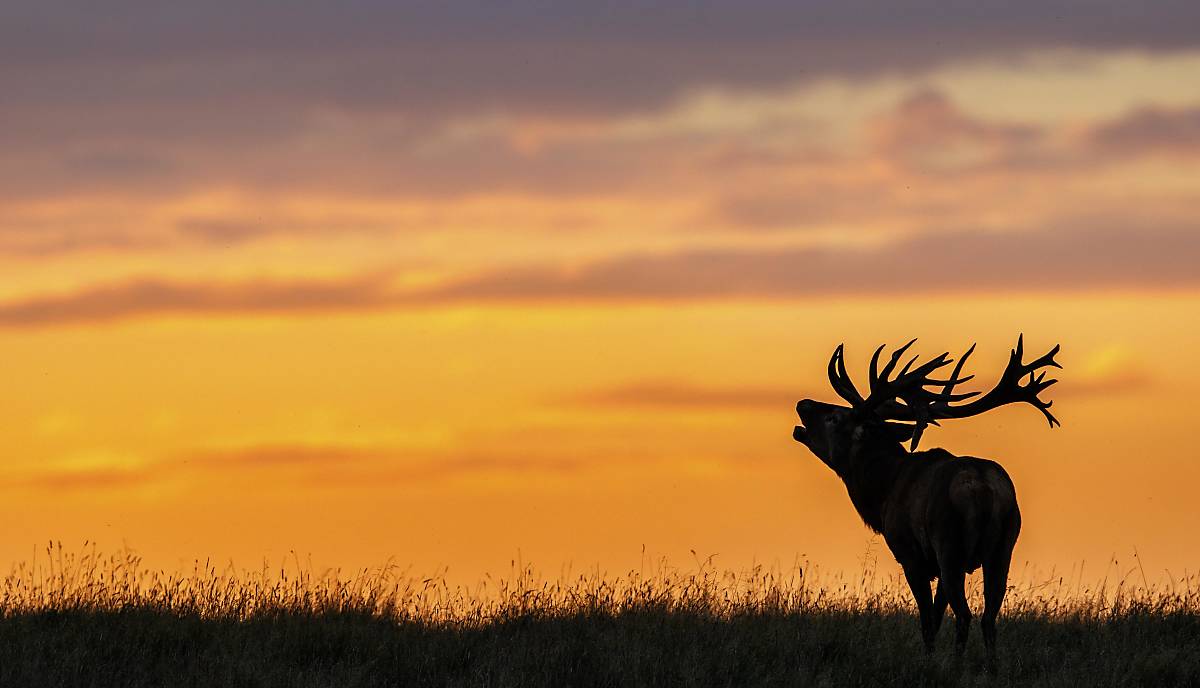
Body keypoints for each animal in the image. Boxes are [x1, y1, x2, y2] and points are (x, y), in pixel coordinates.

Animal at [796, 336, 1060, 667]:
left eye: (835, 417)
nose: (803, 403)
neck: (882, 493)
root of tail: (984, 488)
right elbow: (936, 615)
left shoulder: (910, 554)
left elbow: (927, 620)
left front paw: (928, 659)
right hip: (1003, 546)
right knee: (988, 617)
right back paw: (991, 667)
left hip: (949, 544)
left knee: (965, 615)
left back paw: (956, 667)